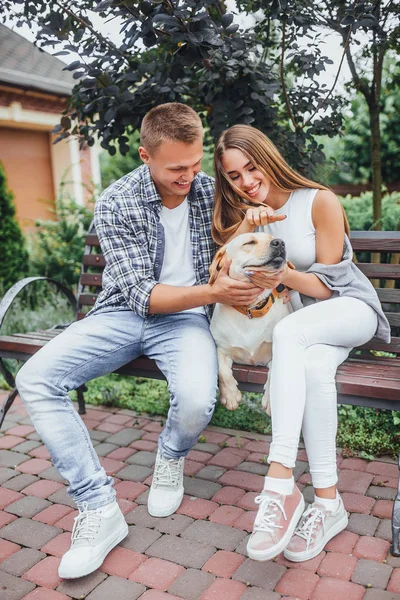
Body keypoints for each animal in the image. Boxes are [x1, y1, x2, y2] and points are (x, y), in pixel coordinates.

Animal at [208, 233, 296, 412]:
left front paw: (270, 399)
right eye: (249, 242)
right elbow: (222, 370)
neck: (251, 309)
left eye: (272, 237)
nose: (280, 242)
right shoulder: (221, 348)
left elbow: (274, 372)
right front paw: (230, 395)